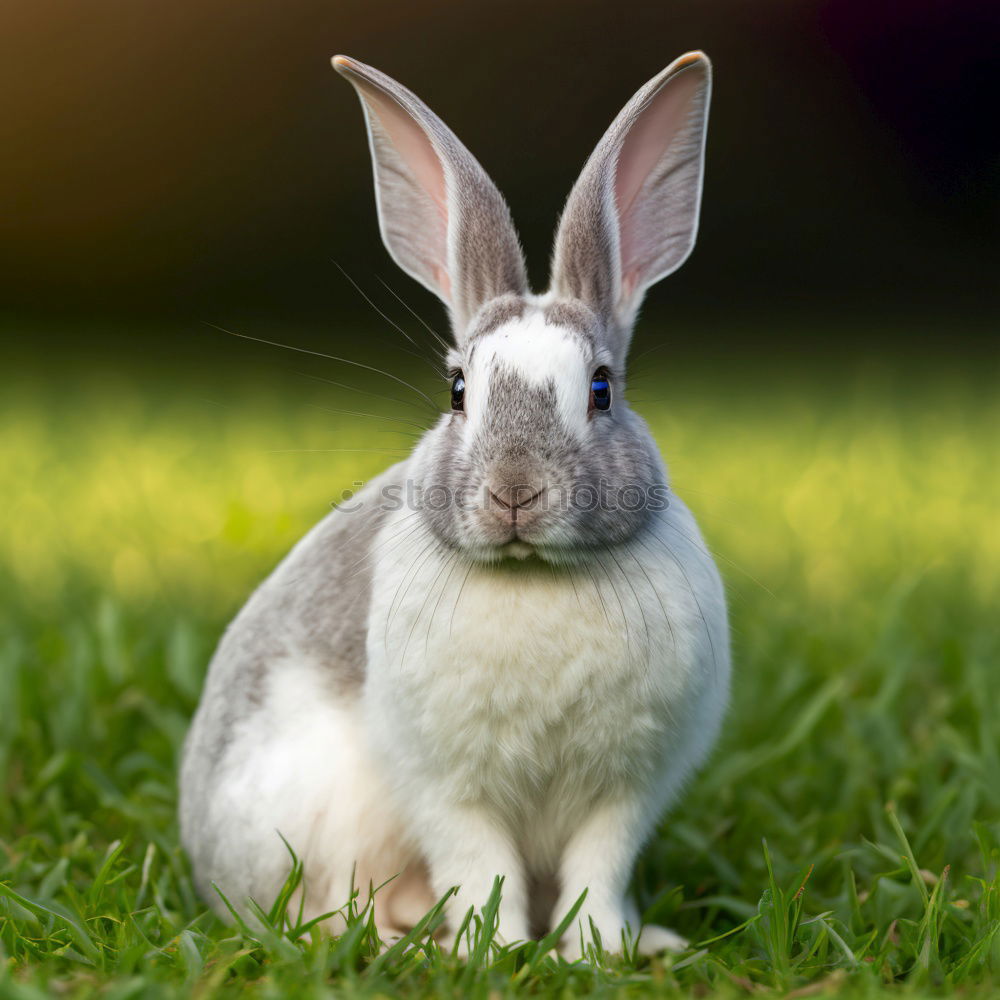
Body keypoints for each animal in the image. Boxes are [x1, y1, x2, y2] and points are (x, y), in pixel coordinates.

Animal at [178, 48, 728, 960]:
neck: (535, 578)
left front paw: (605, 950)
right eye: (458, 390)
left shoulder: (624, 793)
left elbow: (598, 871)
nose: (514, 492)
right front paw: (493, 950)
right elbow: (480, 865)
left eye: (602, 390)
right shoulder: (448, 789)